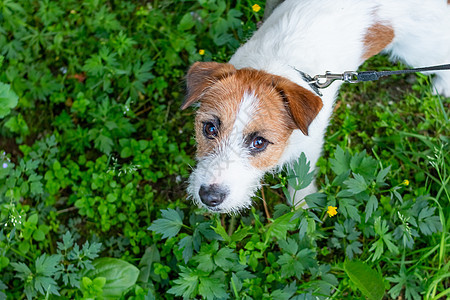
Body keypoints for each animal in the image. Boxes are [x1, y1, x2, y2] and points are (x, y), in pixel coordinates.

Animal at [181, 0, 450, 213]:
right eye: (209, 129)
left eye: (259, 143)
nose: (209, 197)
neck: (275, 65)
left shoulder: (309, 146)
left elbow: (301, 178)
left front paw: (300, 207)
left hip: (420, 50)